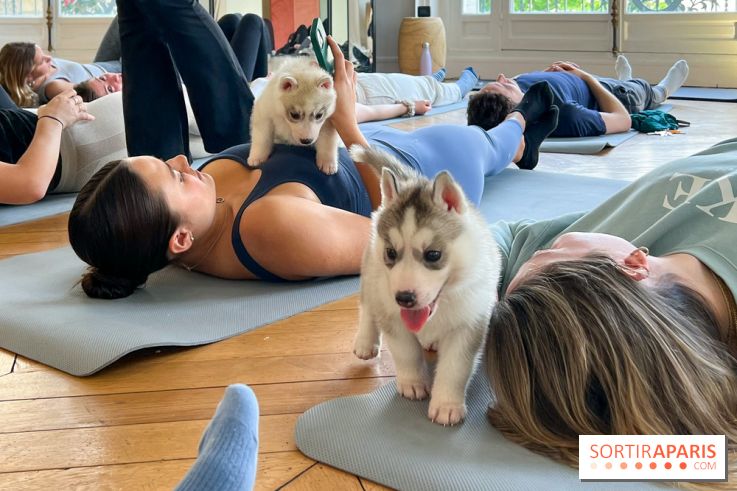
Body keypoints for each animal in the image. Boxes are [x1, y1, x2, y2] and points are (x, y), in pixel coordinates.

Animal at [350, 144, 500, 424]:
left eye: (433, 255)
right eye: (391, 253)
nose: (404, 298)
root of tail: (412, 180)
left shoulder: (468, 324)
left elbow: (455, 367)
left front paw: (446, 405)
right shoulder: (393, 317)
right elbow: (406, 353)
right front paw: (413, 383)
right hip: (371, 275)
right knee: (367, 306)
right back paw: (365, 340)